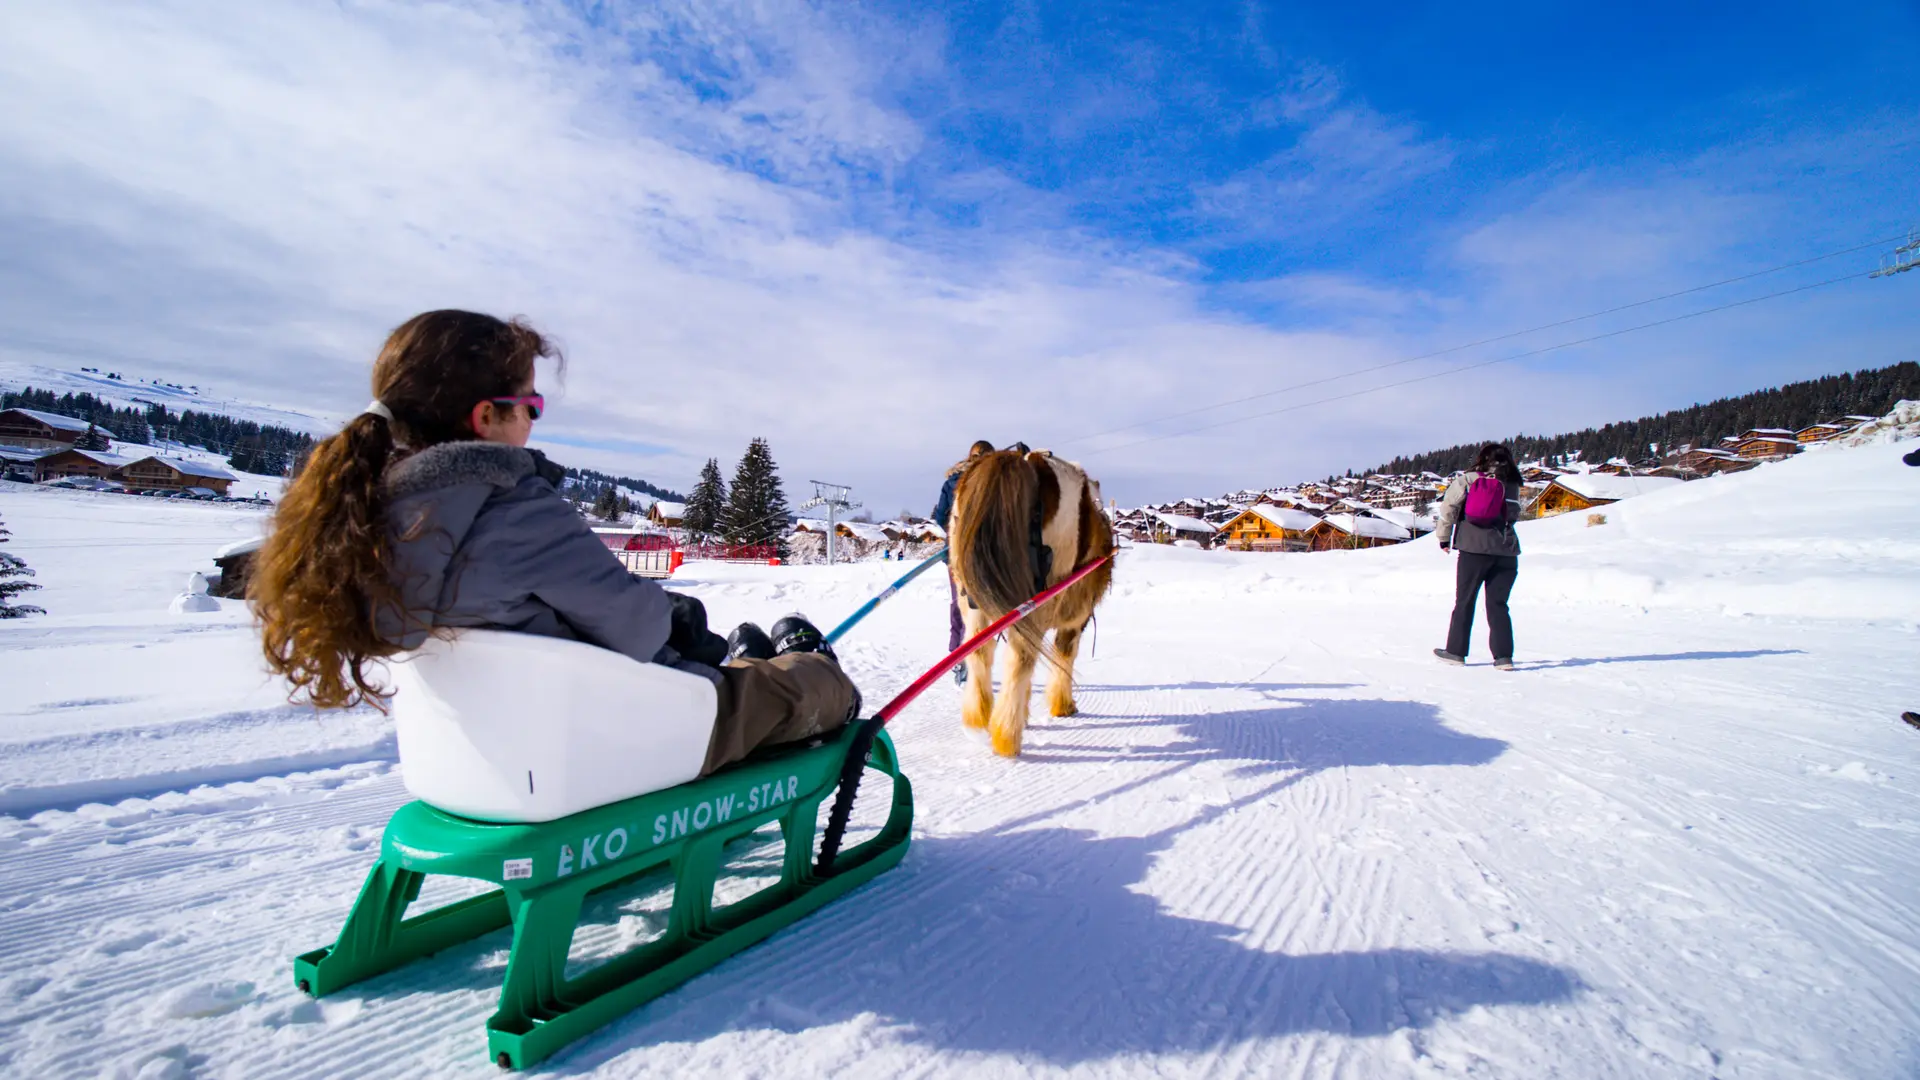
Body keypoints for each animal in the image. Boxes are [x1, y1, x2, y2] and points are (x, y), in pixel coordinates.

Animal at [940, 449, 1113, 753]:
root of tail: (1015, 459)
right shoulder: (1075, 618)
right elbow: (1065, 655)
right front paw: (1062, 704)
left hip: (970, 598)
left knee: (979, 651)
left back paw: (978, 717)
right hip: (1037, 600)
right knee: (1021, 658)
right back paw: (1007, 735)